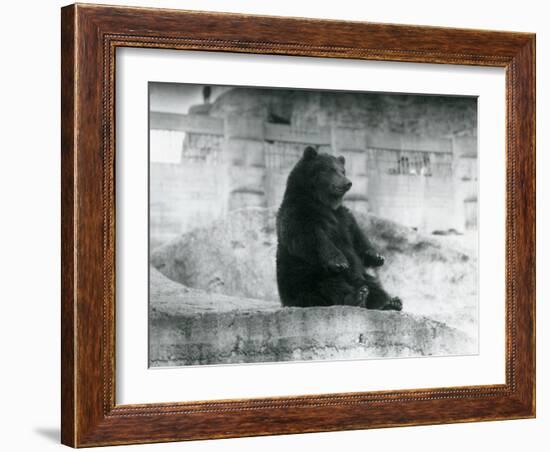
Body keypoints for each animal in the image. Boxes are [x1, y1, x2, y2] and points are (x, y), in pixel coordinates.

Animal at [278, 146, 404, 310]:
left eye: (343, 171)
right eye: (331, 169)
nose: (348, 183)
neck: (322, 201)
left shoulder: (343, 217)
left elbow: (357, 237)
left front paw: (377, 256)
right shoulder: (299, 210)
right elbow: (308, 235)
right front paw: (339, 261)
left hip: (360, 276)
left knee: (372, 283)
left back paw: (390, 301)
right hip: (304, 277)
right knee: (329, 284)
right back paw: (356, 297)